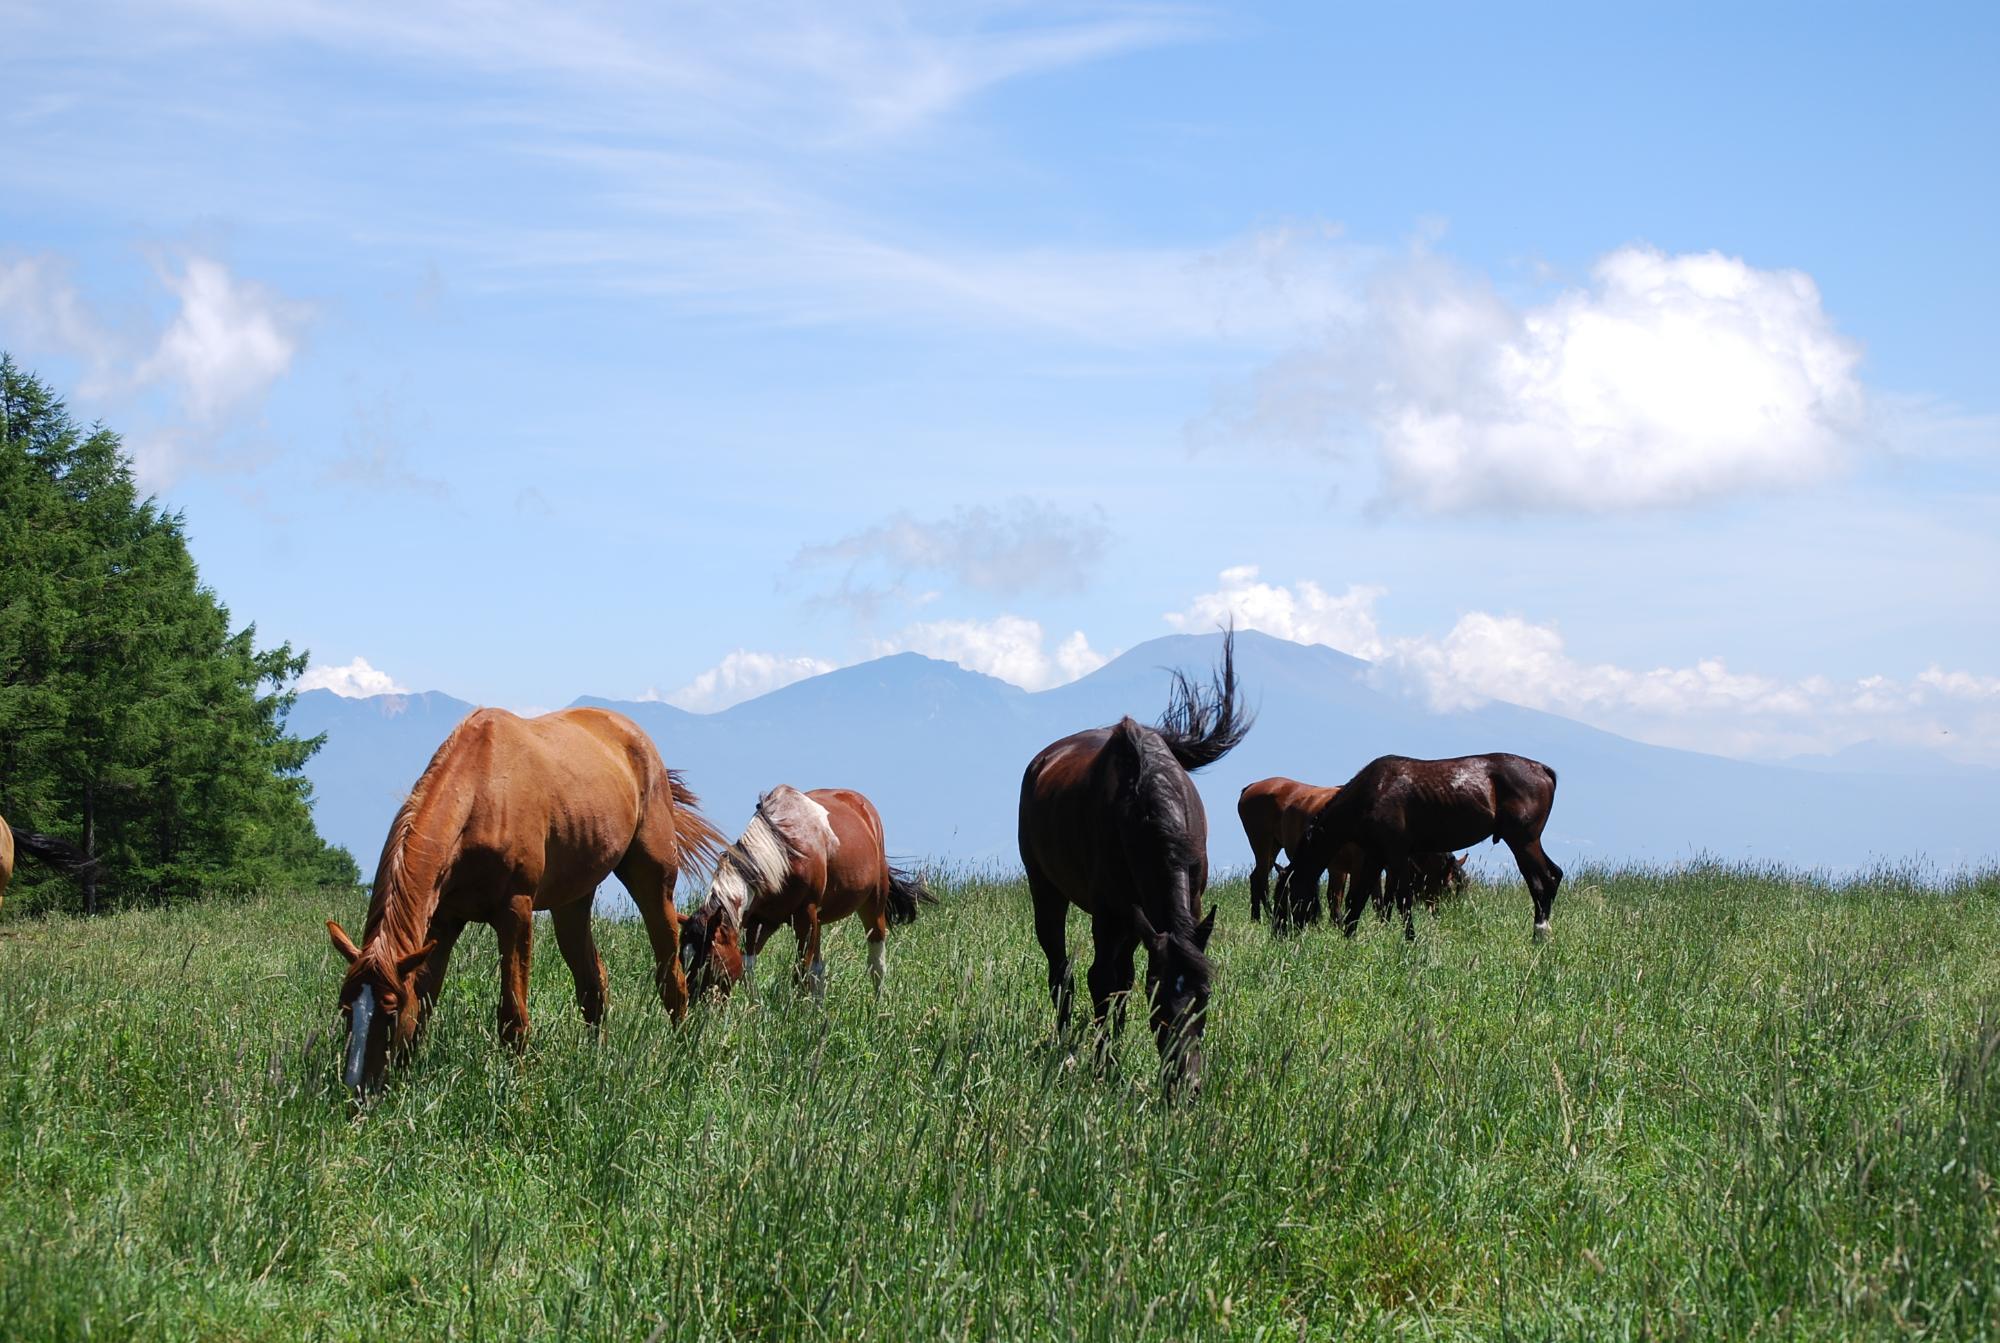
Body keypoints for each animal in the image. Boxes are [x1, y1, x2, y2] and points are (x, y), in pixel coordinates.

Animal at [316, 707, 716, 1095]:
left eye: (390, 1012)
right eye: (345, 1009)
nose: (357, 1090)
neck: (481, 793)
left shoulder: (516, 912)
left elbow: (513, 1016)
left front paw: (514, 1089)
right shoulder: (444, 920)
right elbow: (425, 999)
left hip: (653, 883)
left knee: (671, 978)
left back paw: (682, 1057)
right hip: (572, 901)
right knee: (593, 982)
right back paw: (596, 1059)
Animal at [680, 787, 936, 995]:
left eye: (710, 960)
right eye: (683, 958)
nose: (694, 1009)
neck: (783, 851)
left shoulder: (804, 917)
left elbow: (800, 972)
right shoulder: (760, 921)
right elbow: (750, 967)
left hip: (873, 904)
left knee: (876, 964)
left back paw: (875, 1007)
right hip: (818, 922)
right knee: (819, 969)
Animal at [1016, 623, 1248, 1095]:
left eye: (1204, 998)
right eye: (1158, 1001)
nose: (1187, 1087)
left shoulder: (1181, 906)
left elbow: (1120, 983)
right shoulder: (1108, 913)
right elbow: (1104, 982)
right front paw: (1103, 1067)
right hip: (1047, 890)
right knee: (1063, 969)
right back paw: (1067, 1043)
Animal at [1288, 751, 1568, 939]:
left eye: (1288, 893)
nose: (1283, 932)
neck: (1373, 791)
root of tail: (1543, 770)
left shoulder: (1396, 855)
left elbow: (1402, 900)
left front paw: (1409, 940)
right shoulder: (1376, 856)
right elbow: (1358, 899)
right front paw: (1349, 939)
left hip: (1523, 842)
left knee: (1543, 881)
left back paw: (1540, 933)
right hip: (1528, 843)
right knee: (1554, 875)